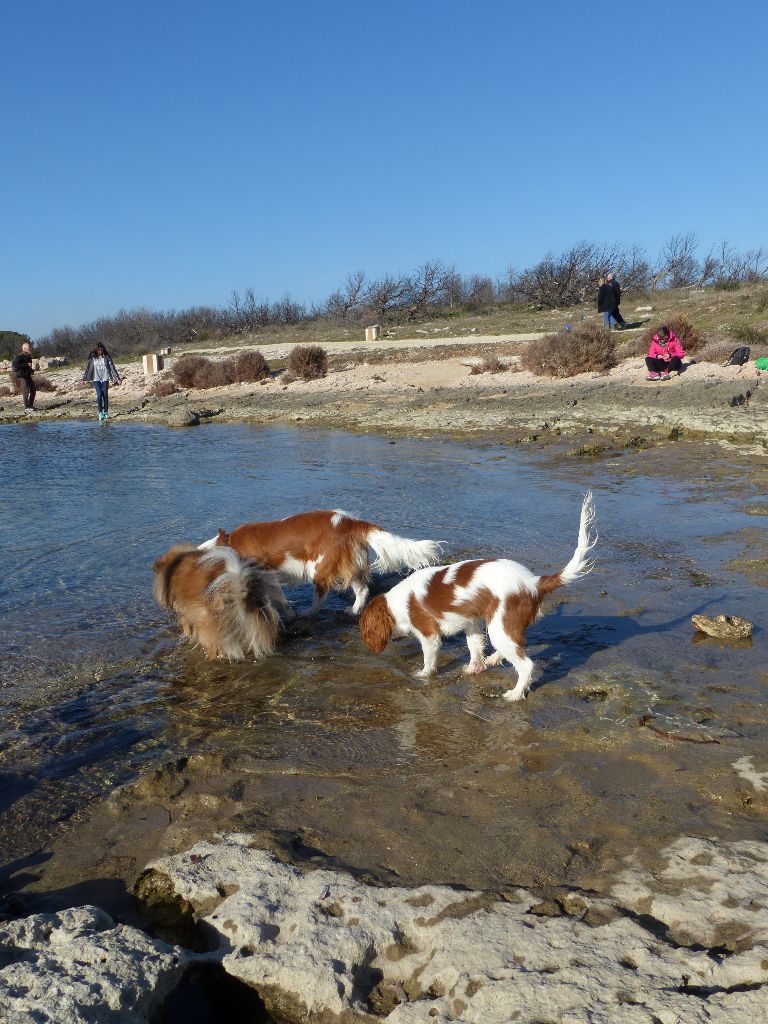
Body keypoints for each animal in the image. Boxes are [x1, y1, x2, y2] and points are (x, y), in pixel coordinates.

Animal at [199, 509, 438, 614]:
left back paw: (309, 613)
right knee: (362, 589)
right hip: (348, 563)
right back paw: (354, 610)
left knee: (321, 595)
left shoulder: (265, 573)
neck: (229, 544)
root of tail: (350, 522)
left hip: (318, 566)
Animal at [362, 491, 602, 700]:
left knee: (525, 664)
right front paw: (474, 668)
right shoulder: (471, 622)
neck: (396, 602)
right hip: (501, 626)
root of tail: (533, 582)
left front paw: (423, 674)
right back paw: (494, 659)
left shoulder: (429, 634)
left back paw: (515, 694)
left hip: (500, 627)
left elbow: (429, 658)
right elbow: (475, 646)